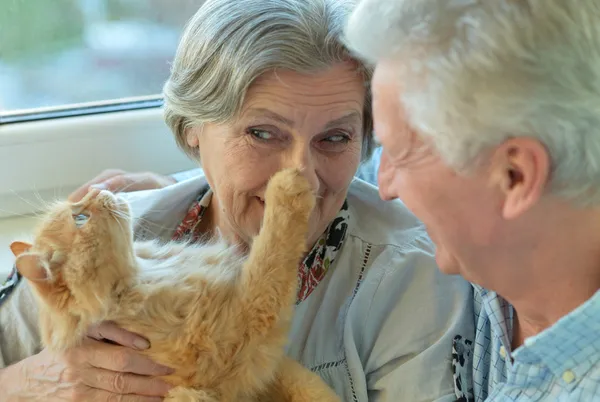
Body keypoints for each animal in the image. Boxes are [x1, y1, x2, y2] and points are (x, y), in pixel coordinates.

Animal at [10, 168, 338, 400]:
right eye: (80, 218)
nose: (98, 188)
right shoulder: (243, 327)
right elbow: (272, 250)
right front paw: (288, 184)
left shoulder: (271, 367)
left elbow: (310, 386)